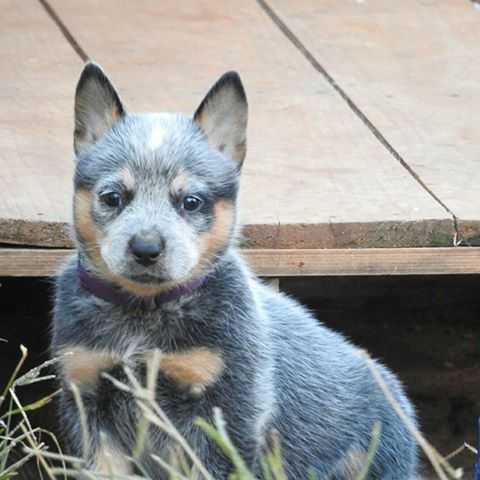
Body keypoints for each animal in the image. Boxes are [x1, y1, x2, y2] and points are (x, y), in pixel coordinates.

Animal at [52, 63, 418, 480]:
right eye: (112, 197)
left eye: (191, 202)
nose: (146, 248)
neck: (143, 315)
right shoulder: (87, 394)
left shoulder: (225, 410)